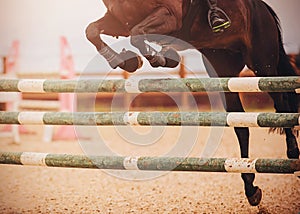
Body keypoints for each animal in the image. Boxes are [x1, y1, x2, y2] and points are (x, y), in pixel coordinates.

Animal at [85, 0, 298, 207]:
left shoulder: (169, 15)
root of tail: (263, 7)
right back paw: (250, 187)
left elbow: (137, 35)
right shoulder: (121, 21)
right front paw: (126, 61)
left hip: (263, 62)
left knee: (281, 103)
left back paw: (292, 151)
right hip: (223, 69)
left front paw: (164, 57)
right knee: (241, 126)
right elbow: (92, 30)